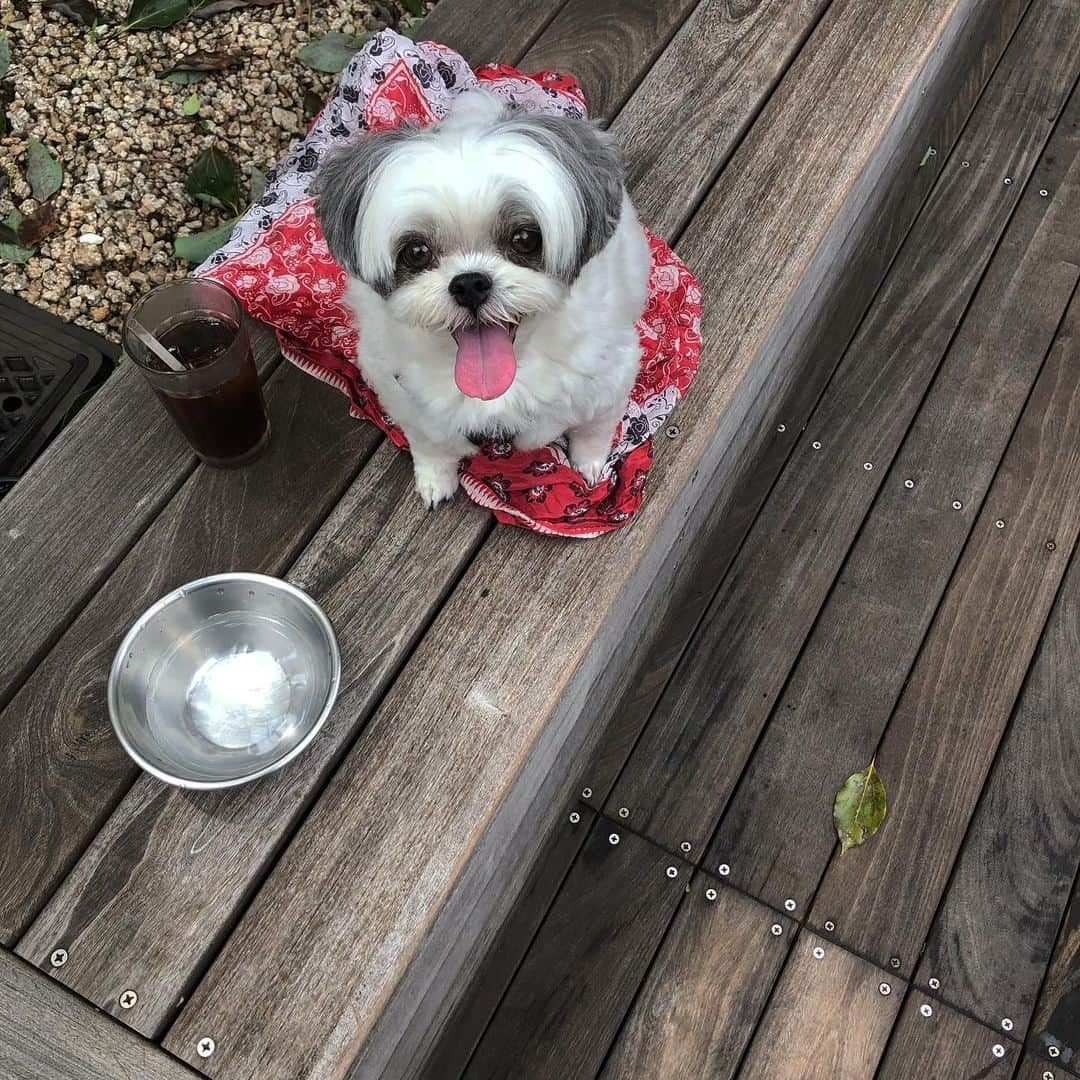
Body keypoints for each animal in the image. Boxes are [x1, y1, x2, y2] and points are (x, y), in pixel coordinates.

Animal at [313, 86, 648, 507]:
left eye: (524, 238)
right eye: (416, 252)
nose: (470, 283)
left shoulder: (609, 377)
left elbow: (594, 429)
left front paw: (589, 464)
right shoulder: (401, 393)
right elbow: (430, 442)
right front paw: (435, 477)